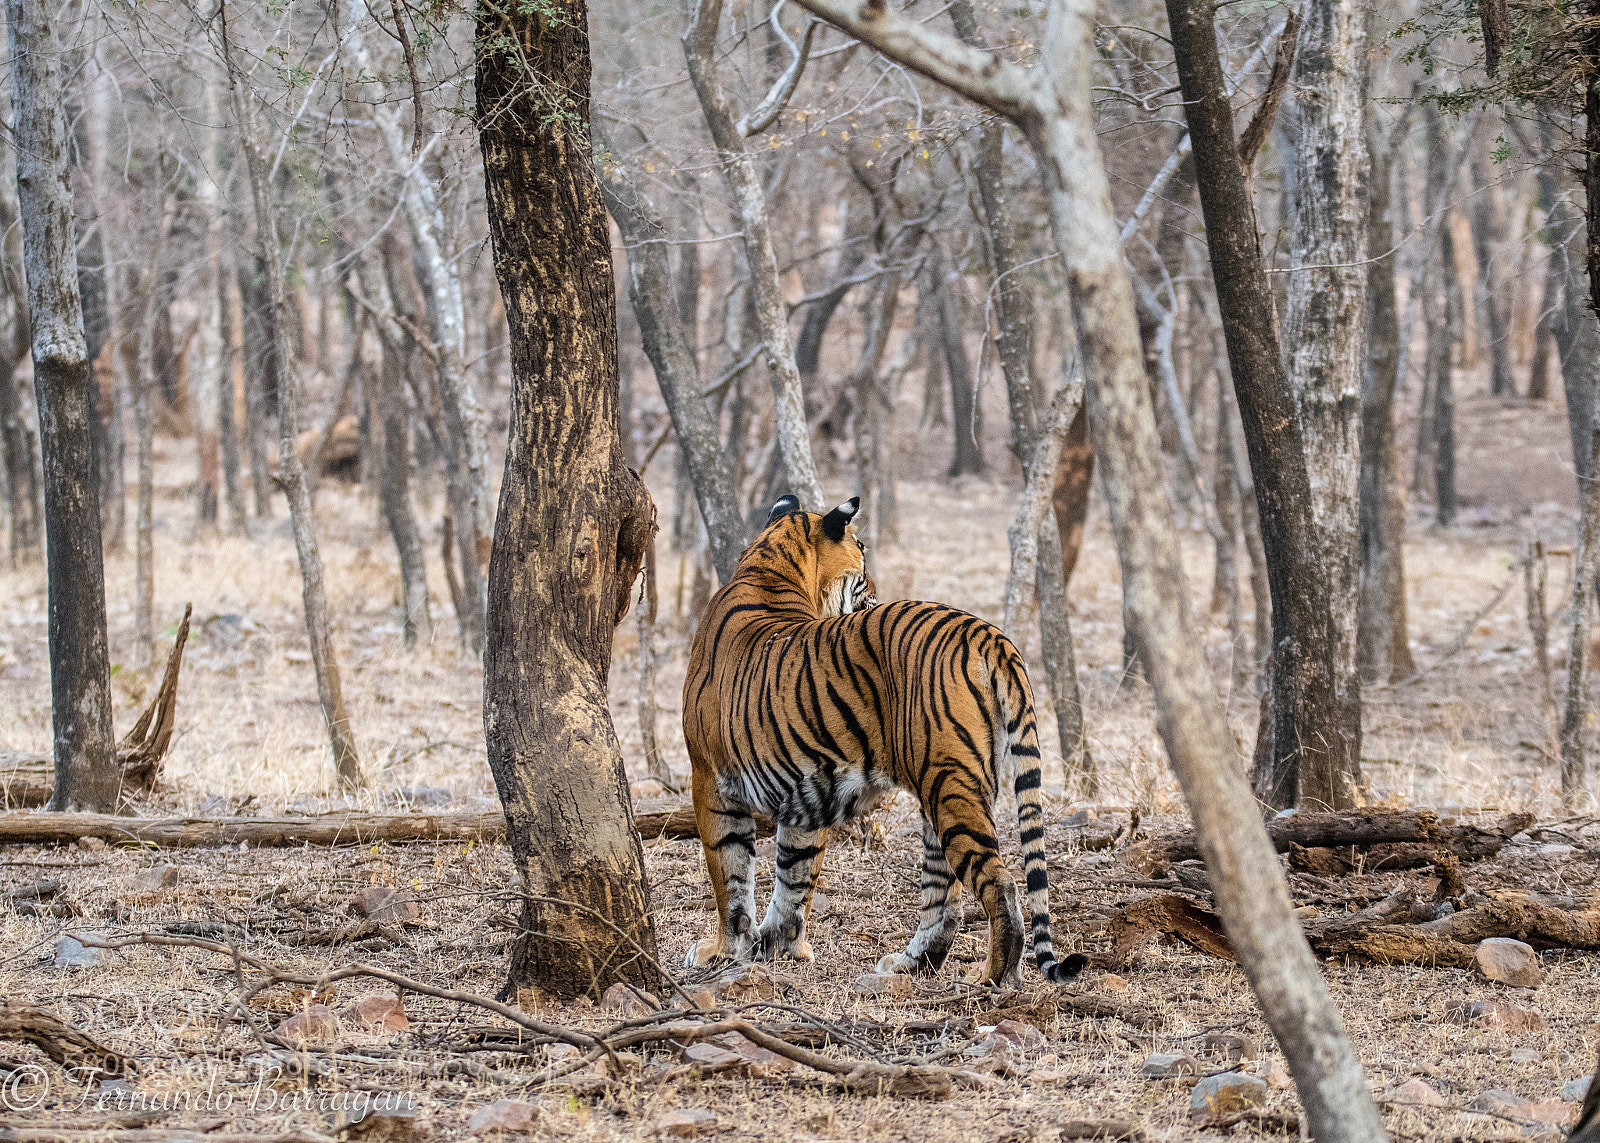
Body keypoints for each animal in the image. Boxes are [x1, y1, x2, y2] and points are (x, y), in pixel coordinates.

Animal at [681, 493, 1088, 988]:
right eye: (862, 551)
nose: (875, 585)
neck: (768, 567)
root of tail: (987, 633)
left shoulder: (710, 780)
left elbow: (731, 877)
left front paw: (724, 950)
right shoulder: (803, 792)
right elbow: (794, 876)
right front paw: (780, 946)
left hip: (949, 786)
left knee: (999, 884)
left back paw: (990, 977)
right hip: (947, 791)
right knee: (944, 898)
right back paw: (910, 965)